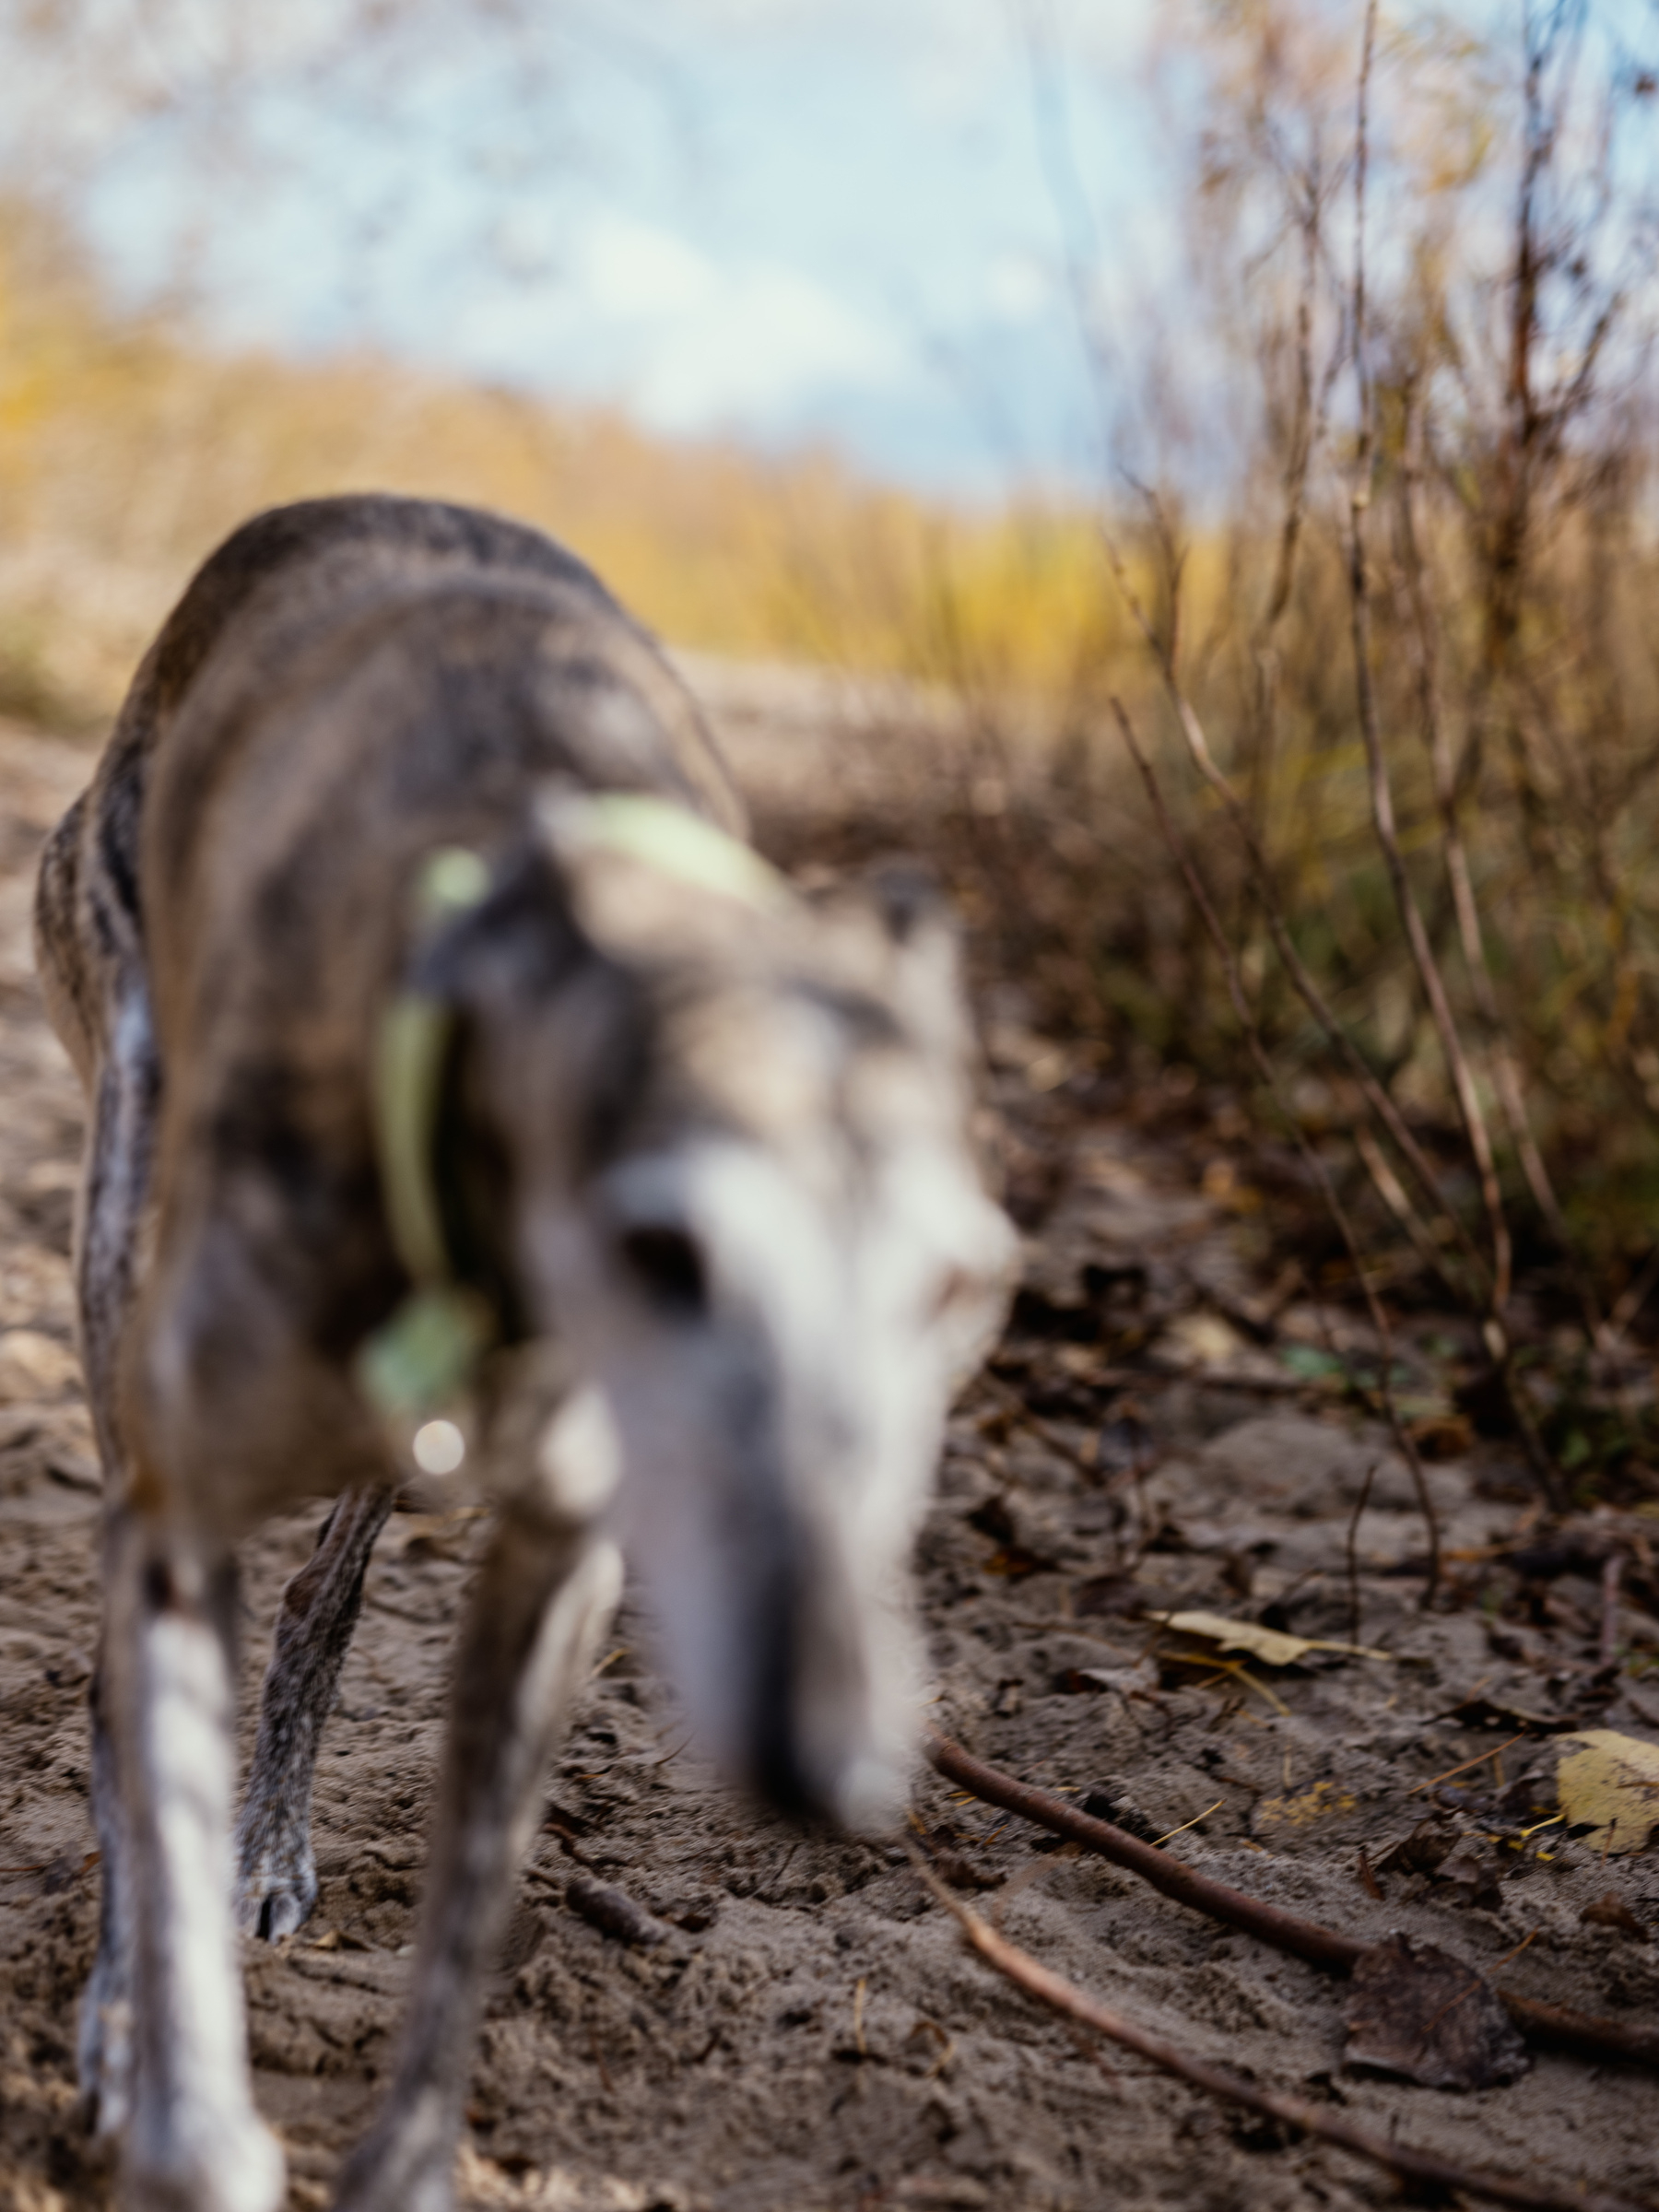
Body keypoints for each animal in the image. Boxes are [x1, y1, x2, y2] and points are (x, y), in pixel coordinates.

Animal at [35, 501, 1013, 2212]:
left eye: (960, 1287)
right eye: (665, 1249)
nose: (833, 1764)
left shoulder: (564, 1567)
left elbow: (465, 1933)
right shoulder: (180, 1510)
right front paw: (163, 2070)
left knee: (324, 1585)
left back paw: (268, 1839)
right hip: (119, 1234)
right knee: (122, 1681)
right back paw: (121, 1993)